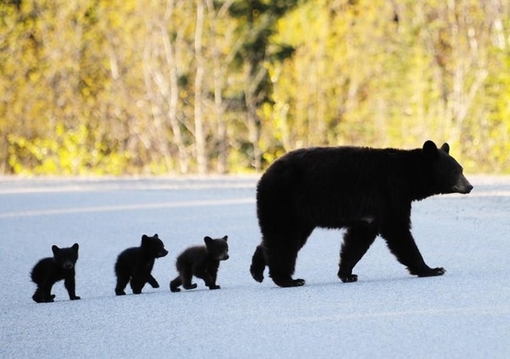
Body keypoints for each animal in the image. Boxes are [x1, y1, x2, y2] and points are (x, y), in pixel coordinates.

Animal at [251, 142, 474, 288]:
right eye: (455, 171)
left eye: (461, 168)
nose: (470, 186)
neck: (407, 177)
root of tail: (266, 174)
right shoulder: (389, 193)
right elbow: (398, 232)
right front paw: (432, 269)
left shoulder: (371, 212)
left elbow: (358, 239)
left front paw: (347, 274)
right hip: (286, 199)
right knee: (283, 238)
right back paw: (288, 280)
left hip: (298, 213)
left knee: (282, 238)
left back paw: (257, 271)